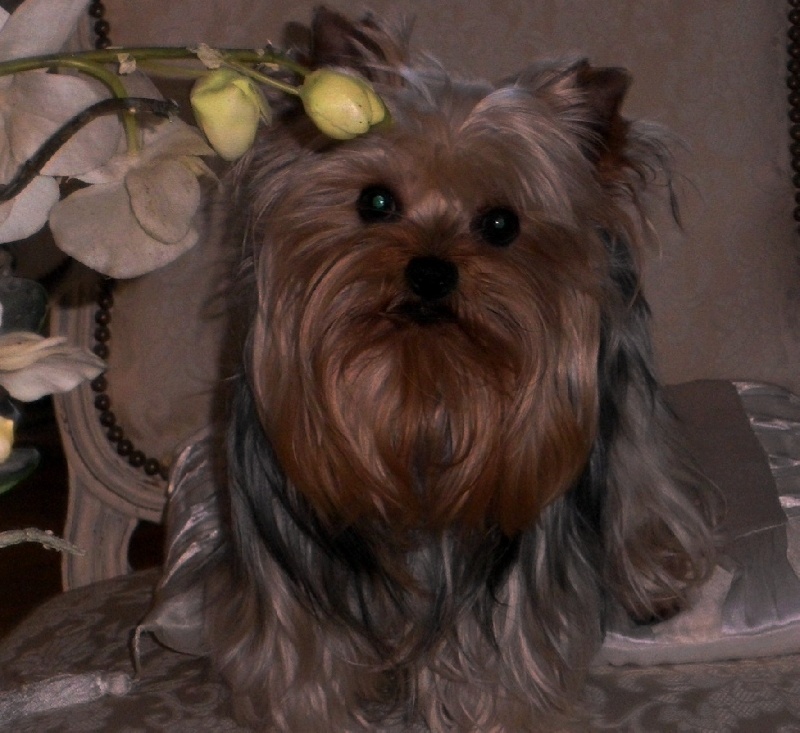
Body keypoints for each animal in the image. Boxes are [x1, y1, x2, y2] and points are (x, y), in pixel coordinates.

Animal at [196, 8, 716, 731]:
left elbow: (497, 678)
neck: (419, 387)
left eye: (500, 223)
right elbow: (304, 673)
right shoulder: (291, 582)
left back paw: (653, 574)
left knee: (639, 474)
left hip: (621, 382)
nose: (432, 271)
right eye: (375, 201)